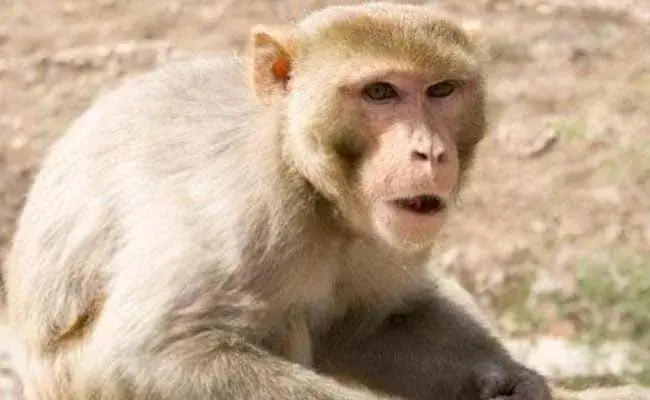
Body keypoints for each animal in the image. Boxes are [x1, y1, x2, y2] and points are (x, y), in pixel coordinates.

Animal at [3, 2, 553, 400]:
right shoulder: (242, 212)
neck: (312, 187)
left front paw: (513, 382)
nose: (431, 151)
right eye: (380, 92)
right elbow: (153, 352)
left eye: (441, 89)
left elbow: (376, 324)